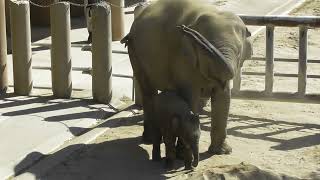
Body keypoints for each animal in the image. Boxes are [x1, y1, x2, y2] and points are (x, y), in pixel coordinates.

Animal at [122, 0, 252, 155]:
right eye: (205, 53)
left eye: (238, 54)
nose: (184, 29)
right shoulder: (182, 57)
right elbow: (191, 96)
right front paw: (183, 153)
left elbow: (223, 97)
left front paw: (222, 152)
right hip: (135, 52)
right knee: (148, 90)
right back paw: (150, 139)